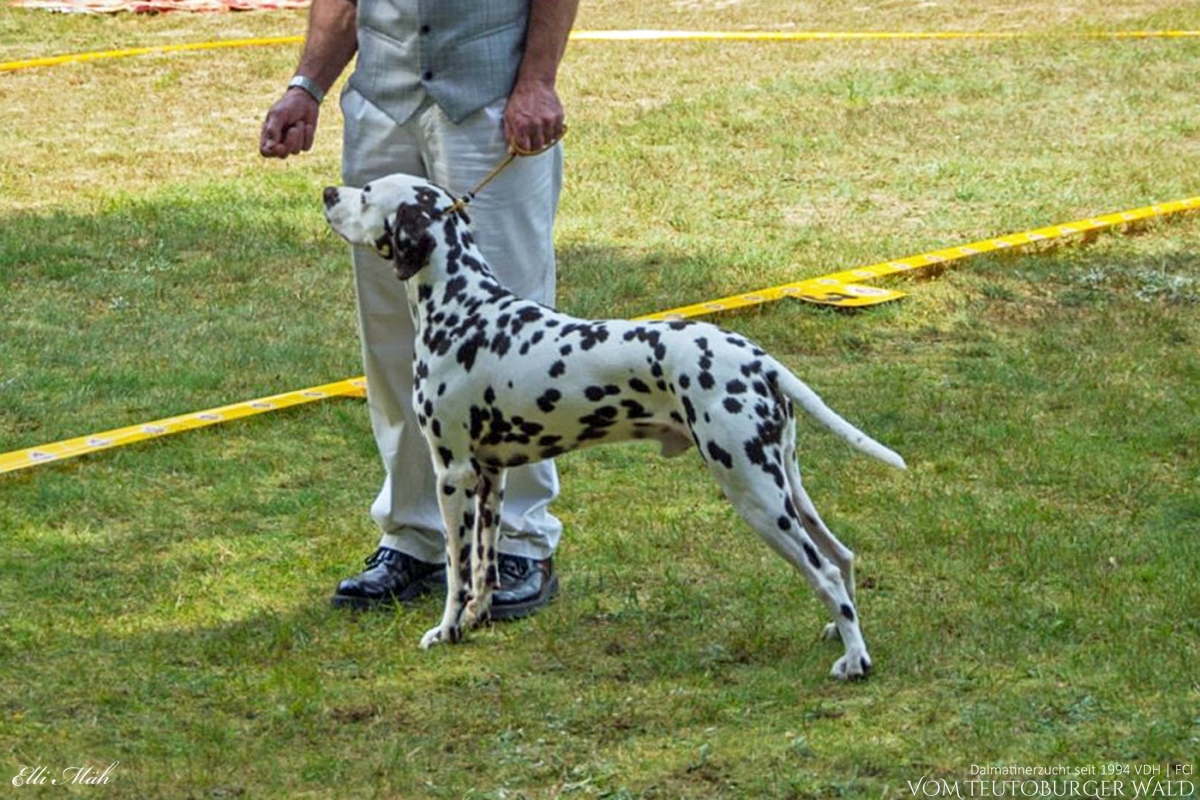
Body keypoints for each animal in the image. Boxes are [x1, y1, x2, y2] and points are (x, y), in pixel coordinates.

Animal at [324, 172, 902, 681]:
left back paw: (855, 661)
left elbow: (456, 572)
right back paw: (839, 632)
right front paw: (475, 622)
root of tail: (756, 356)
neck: (464, 308)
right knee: (841, 556)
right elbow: (485, 568)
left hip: (753, 490)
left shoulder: (454, 473)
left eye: (367, 192)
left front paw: (446, 632)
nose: (328, 191)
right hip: (783, 483)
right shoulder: (491, 476)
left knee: (825, 570)